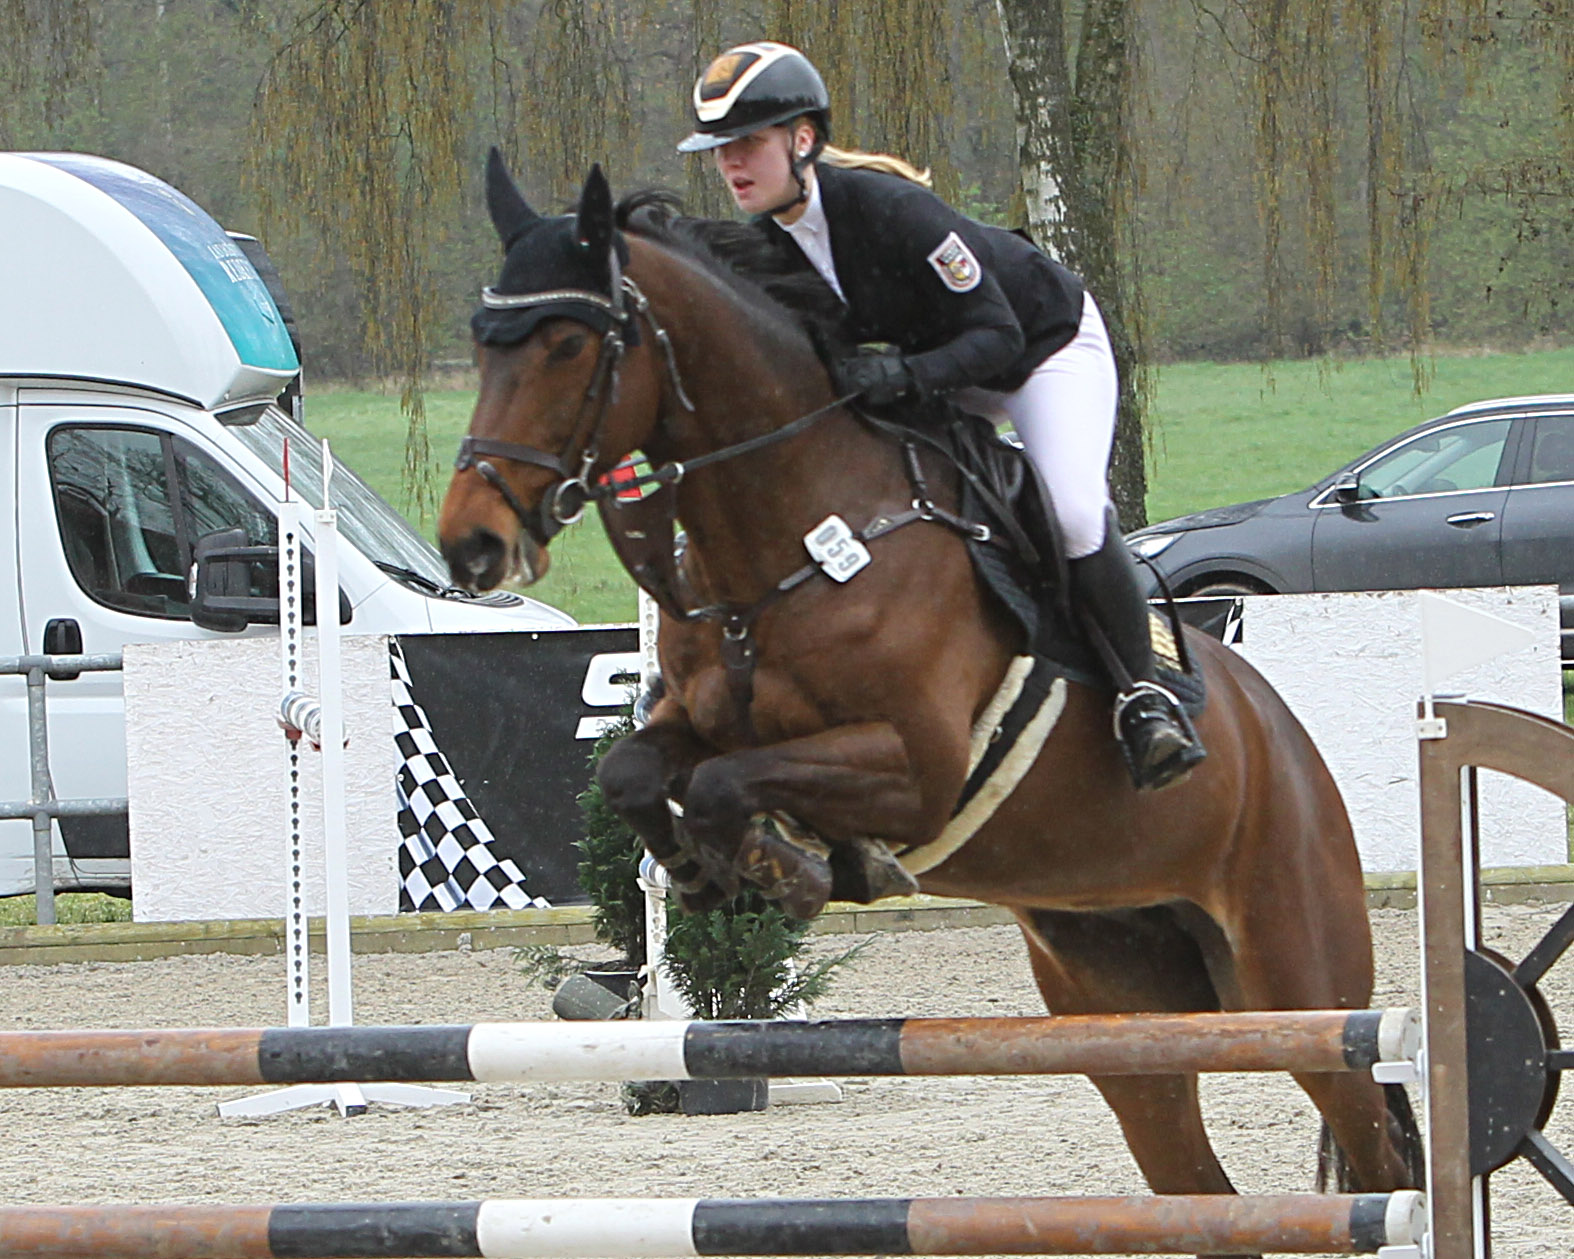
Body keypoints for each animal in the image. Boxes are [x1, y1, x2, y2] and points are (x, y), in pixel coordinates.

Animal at [437, 152, 1422, 1246]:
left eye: (568, 343)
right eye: (481, 342)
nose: (471, 544)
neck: (795, 534)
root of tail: (1287, 740)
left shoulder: (918, 766)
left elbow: (737, 781)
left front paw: (790, 867)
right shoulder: (701, 722)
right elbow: (634, 767)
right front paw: (703, 871)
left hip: (1295, 976)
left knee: (1374, 1146)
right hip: (1120, 991)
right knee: (1198, 1184)